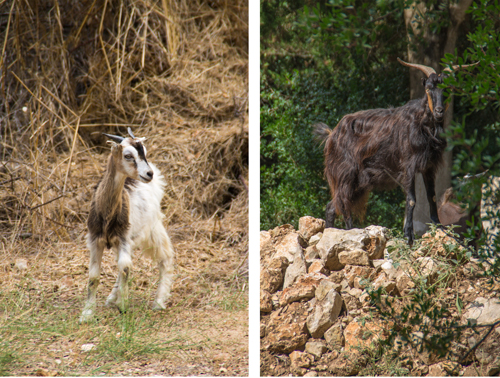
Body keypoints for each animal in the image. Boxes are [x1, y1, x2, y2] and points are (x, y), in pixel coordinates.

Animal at [316, 57, 476, 244]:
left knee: (332, 206)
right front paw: (408, 235)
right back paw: (351, 232)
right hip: (345, 173)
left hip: (358, 182)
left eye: (448, 88)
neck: (423, 124)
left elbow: (432, 197)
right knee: (343, 203)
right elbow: (412, 199)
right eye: (428, 88)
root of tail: (331, 135)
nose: (439, 111)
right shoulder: (408, 165)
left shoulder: (429, 166)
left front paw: (440, 228)